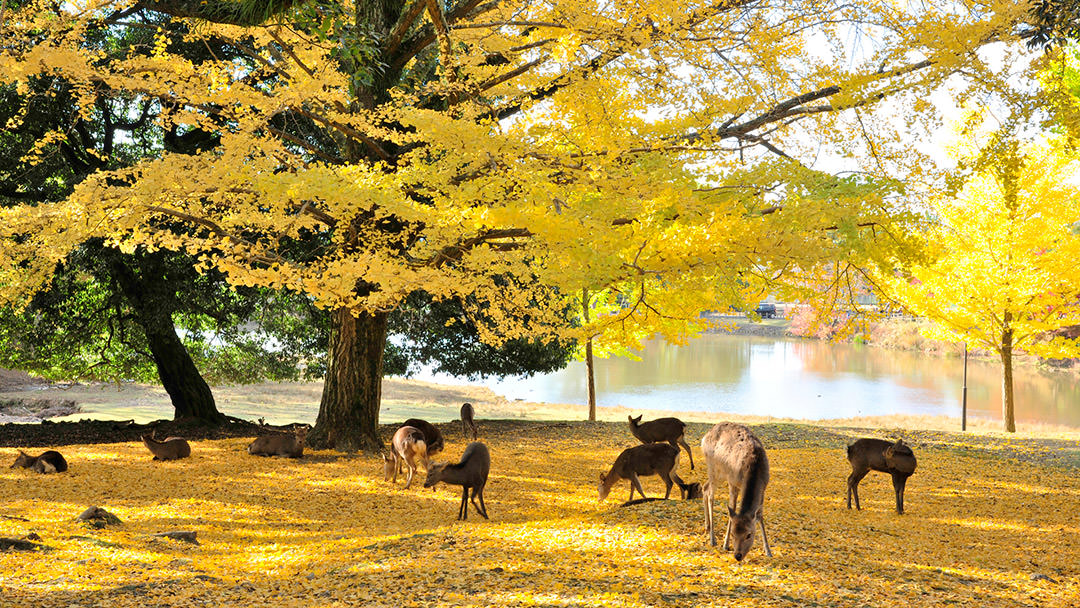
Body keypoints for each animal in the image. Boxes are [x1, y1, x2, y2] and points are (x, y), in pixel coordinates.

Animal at [704, 423, 773, 561]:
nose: (738, 555)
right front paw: (725, 544)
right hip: (712, 467)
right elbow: (732, 508)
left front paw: (768, 551)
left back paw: (707, 526)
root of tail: (705, 437)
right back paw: (712, 539)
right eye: (733, 534)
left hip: (720, 474)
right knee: (710, 495)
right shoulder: (733, 481)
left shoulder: (764, 487)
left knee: (704, 487)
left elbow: (760, 514)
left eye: (749, 535)